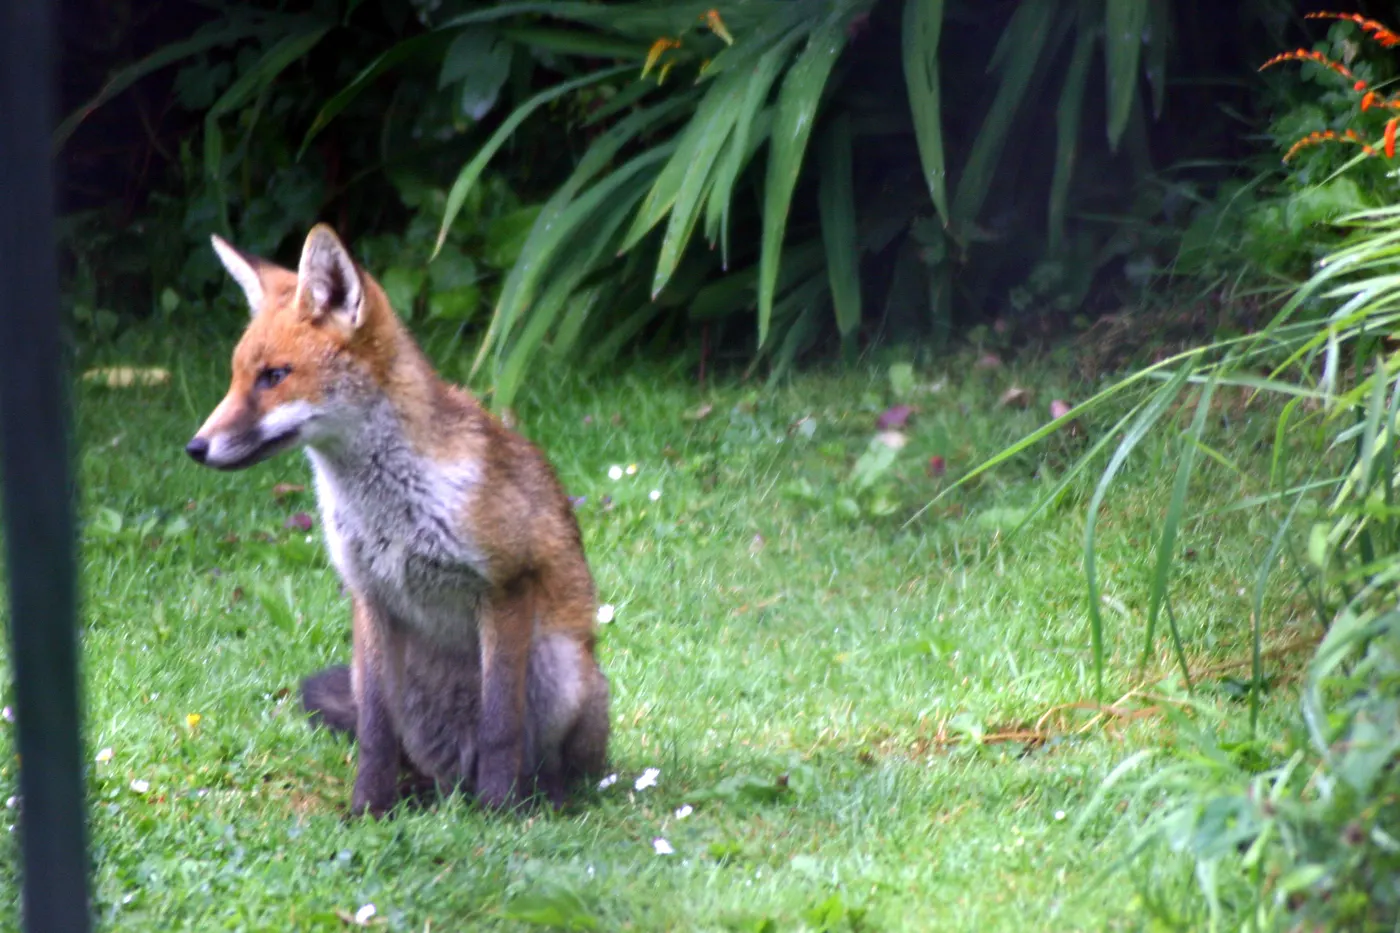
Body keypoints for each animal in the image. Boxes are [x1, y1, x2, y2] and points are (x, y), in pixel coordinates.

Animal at [185, 224, 610, 816]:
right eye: (235, 377)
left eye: (274, 377)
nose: (195, 447)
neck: (391, 510)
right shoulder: (370, 596)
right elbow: (374, 731)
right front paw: (366, 809)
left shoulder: (505, 586)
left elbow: (501, 723)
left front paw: (499, 811)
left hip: (561, 667)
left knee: (545, 758)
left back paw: (537, 797)